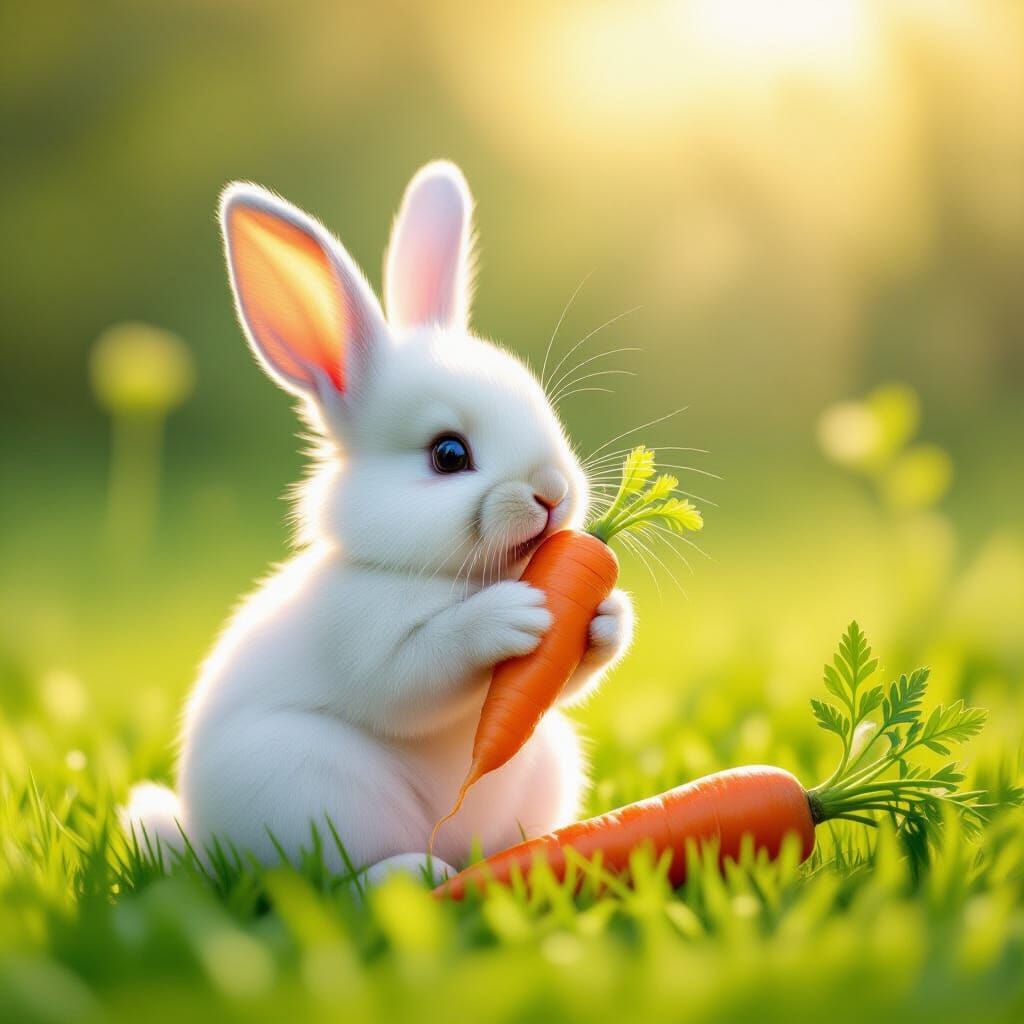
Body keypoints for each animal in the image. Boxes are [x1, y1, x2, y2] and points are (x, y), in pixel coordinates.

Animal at [124, 161, 634, 885]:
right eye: (449, 454)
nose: (551, 492)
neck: (456, 578)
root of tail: (199, 838)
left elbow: (570, 677)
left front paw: (608, 617)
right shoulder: (368, 643)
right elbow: (418, 671)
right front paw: (515, 618)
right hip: (315, 788)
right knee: (340, 878)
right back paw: (418, 874)